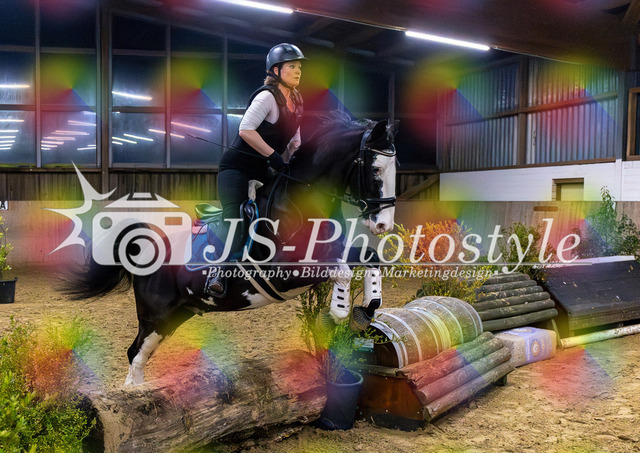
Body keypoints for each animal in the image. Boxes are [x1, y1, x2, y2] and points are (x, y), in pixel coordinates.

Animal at [64, 113, 398, 386]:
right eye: (375, 169)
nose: (384, 225)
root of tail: (147, 250)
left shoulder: (334, 253)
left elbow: (370, 259)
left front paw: (366, 309)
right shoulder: (284, 273)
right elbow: (342, 273)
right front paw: (338, 312)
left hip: (178, 315)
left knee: (138, 355)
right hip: (155, 317)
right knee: (135, 354)